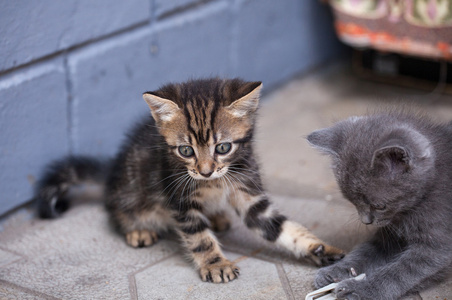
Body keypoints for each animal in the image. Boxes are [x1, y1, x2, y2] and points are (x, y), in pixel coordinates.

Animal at [37, 78, 344, 284]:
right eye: (186, 151)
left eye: (223, 147)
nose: (206, 171)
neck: (215, 183)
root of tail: (113, 169)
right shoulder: (179, 200)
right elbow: (199, 238)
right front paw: (215, 264)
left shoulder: (249, 191)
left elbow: (281, 227)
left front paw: (320, 249)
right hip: (130, 191)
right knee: (116, 208)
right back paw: (137, 230)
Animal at [308, 112, 452, 300]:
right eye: (352, 202)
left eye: (379, 206)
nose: (365, 221)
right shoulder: (389, 235)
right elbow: (366, 251)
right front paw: (335, 271)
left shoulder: (438, 246)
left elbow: (401, 273)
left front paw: (359, 289)